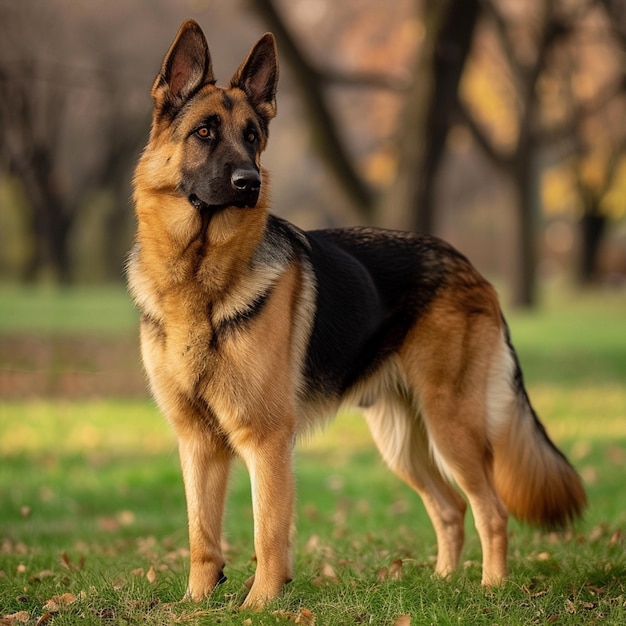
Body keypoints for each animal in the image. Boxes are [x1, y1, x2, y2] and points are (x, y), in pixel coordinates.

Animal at [127, 20, 584, 608]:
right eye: (205, 132)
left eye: (252, 136)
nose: (250, 183)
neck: (198, 279)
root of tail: (468, 265)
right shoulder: (197, 443)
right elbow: (201, 534)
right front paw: (196, 605)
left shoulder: (265, 441)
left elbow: (268, 531)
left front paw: (260, 606)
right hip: (403, 444)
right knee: (450, 506)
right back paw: (442, 585)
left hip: (451, 427)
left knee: (491, 509)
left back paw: (491, 589)